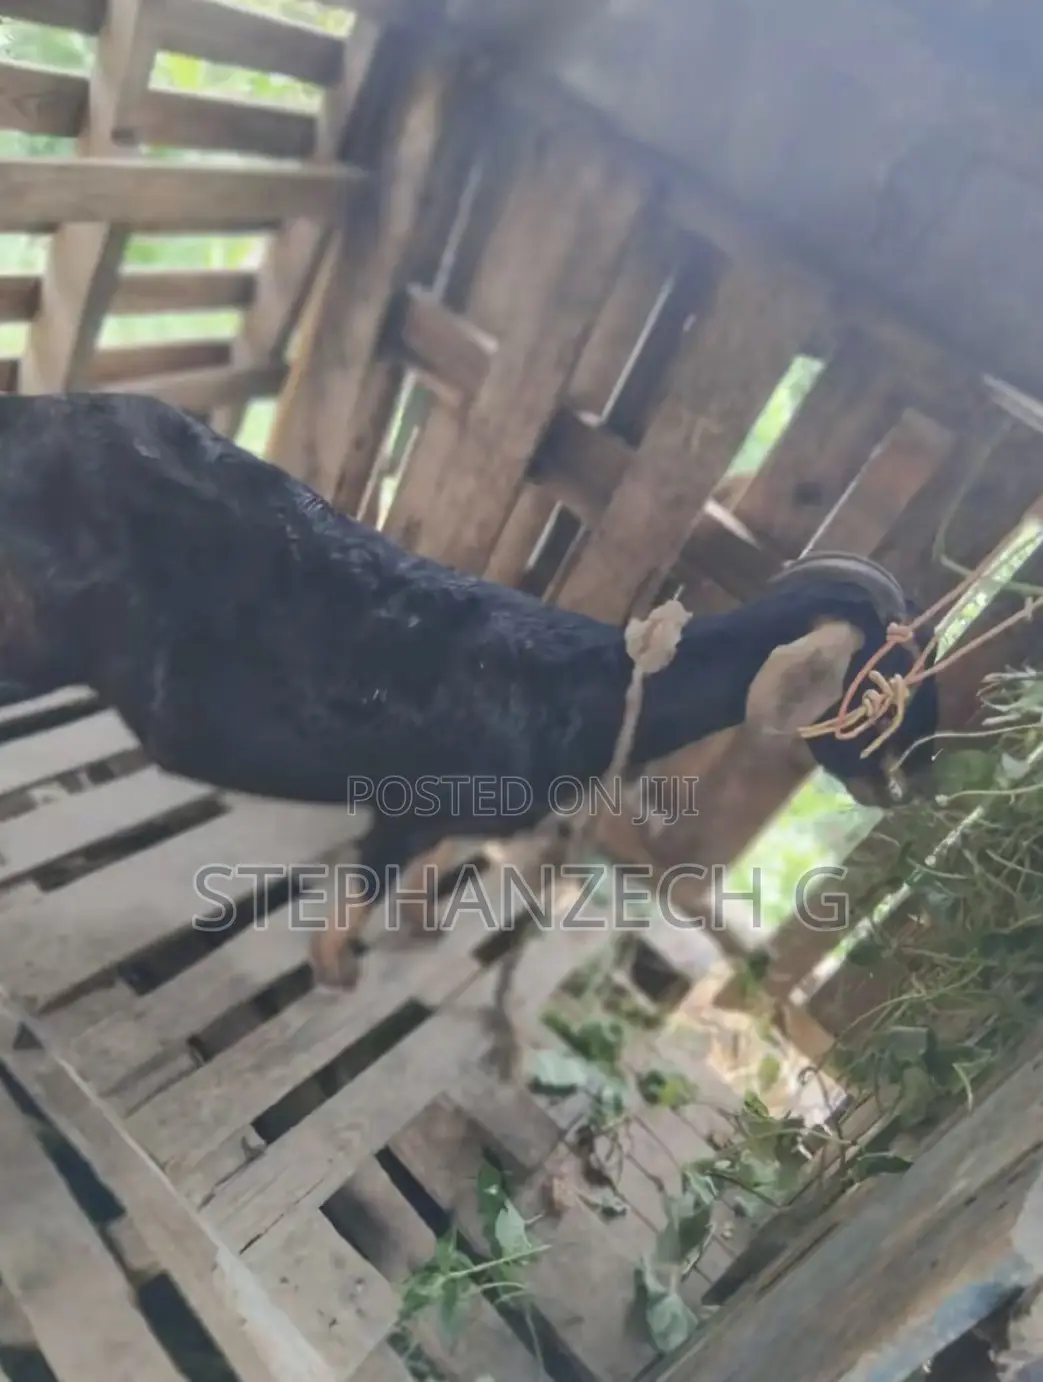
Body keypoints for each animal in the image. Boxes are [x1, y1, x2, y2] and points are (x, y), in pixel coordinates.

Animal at [0, 393, 940, 987]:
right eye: (886, 681)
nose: (906, 780)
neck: (584, 687)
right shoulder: (407, 805)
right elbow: (368, 881)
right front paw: (335, 972)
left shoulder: (458, 816)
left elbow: (434, 868)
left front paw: (420, 928)